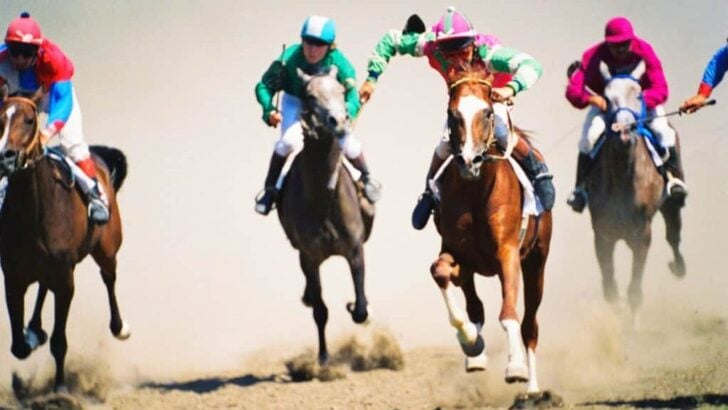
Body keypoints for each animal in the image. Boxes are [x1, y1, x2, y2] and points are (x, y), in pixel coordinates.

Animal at [0, 90, 130, 392]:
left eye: (29, 120)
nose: (6, 157)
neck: (33, 211)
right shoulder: (13, 277)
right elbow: (18, 347)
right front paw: (32, 335)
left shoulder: (65, 278)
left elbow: (59, 340)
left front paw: (60, 388)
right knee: (43, 287)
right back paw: (35, 328)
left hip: (106, 248)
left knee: (109, 278)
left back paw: (120, 327)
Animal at [276, 67, 374, 364]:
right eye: (310, 95)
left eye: (342, 90)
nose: (339, 120)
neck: (323, 200)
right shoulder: (310, 255)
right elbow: (320, 311)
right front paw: (323, 358)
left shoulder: (354, 249)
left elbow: (361, 309)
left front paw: (354, 305)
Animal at [429, 66, 552, 396]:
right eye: (452, 114)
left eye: (486, 112)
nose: (469, 160)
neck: (476, 190)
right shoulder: (457, 252)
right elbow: (440, 273)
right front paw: (471, 343)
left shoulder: (508, 254)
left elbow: (509, 314)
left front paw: (516, 368)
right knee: (476, 306)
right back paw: (475, 354)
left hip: (536, 262)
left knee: (530, 325)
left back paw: (533, 388)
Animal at [586, 60, 685, 322]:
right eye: (607, 97)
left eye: (639, 94)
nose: (623, 132)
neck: (623, 177)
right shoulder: (602, 234)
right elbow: (610, 287)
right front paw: (618, 311)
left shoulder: (641, 235)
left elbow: (634, 290)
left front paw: (631, 326)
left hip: (670, 204)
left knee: (673, 234)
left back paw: (679, 266)